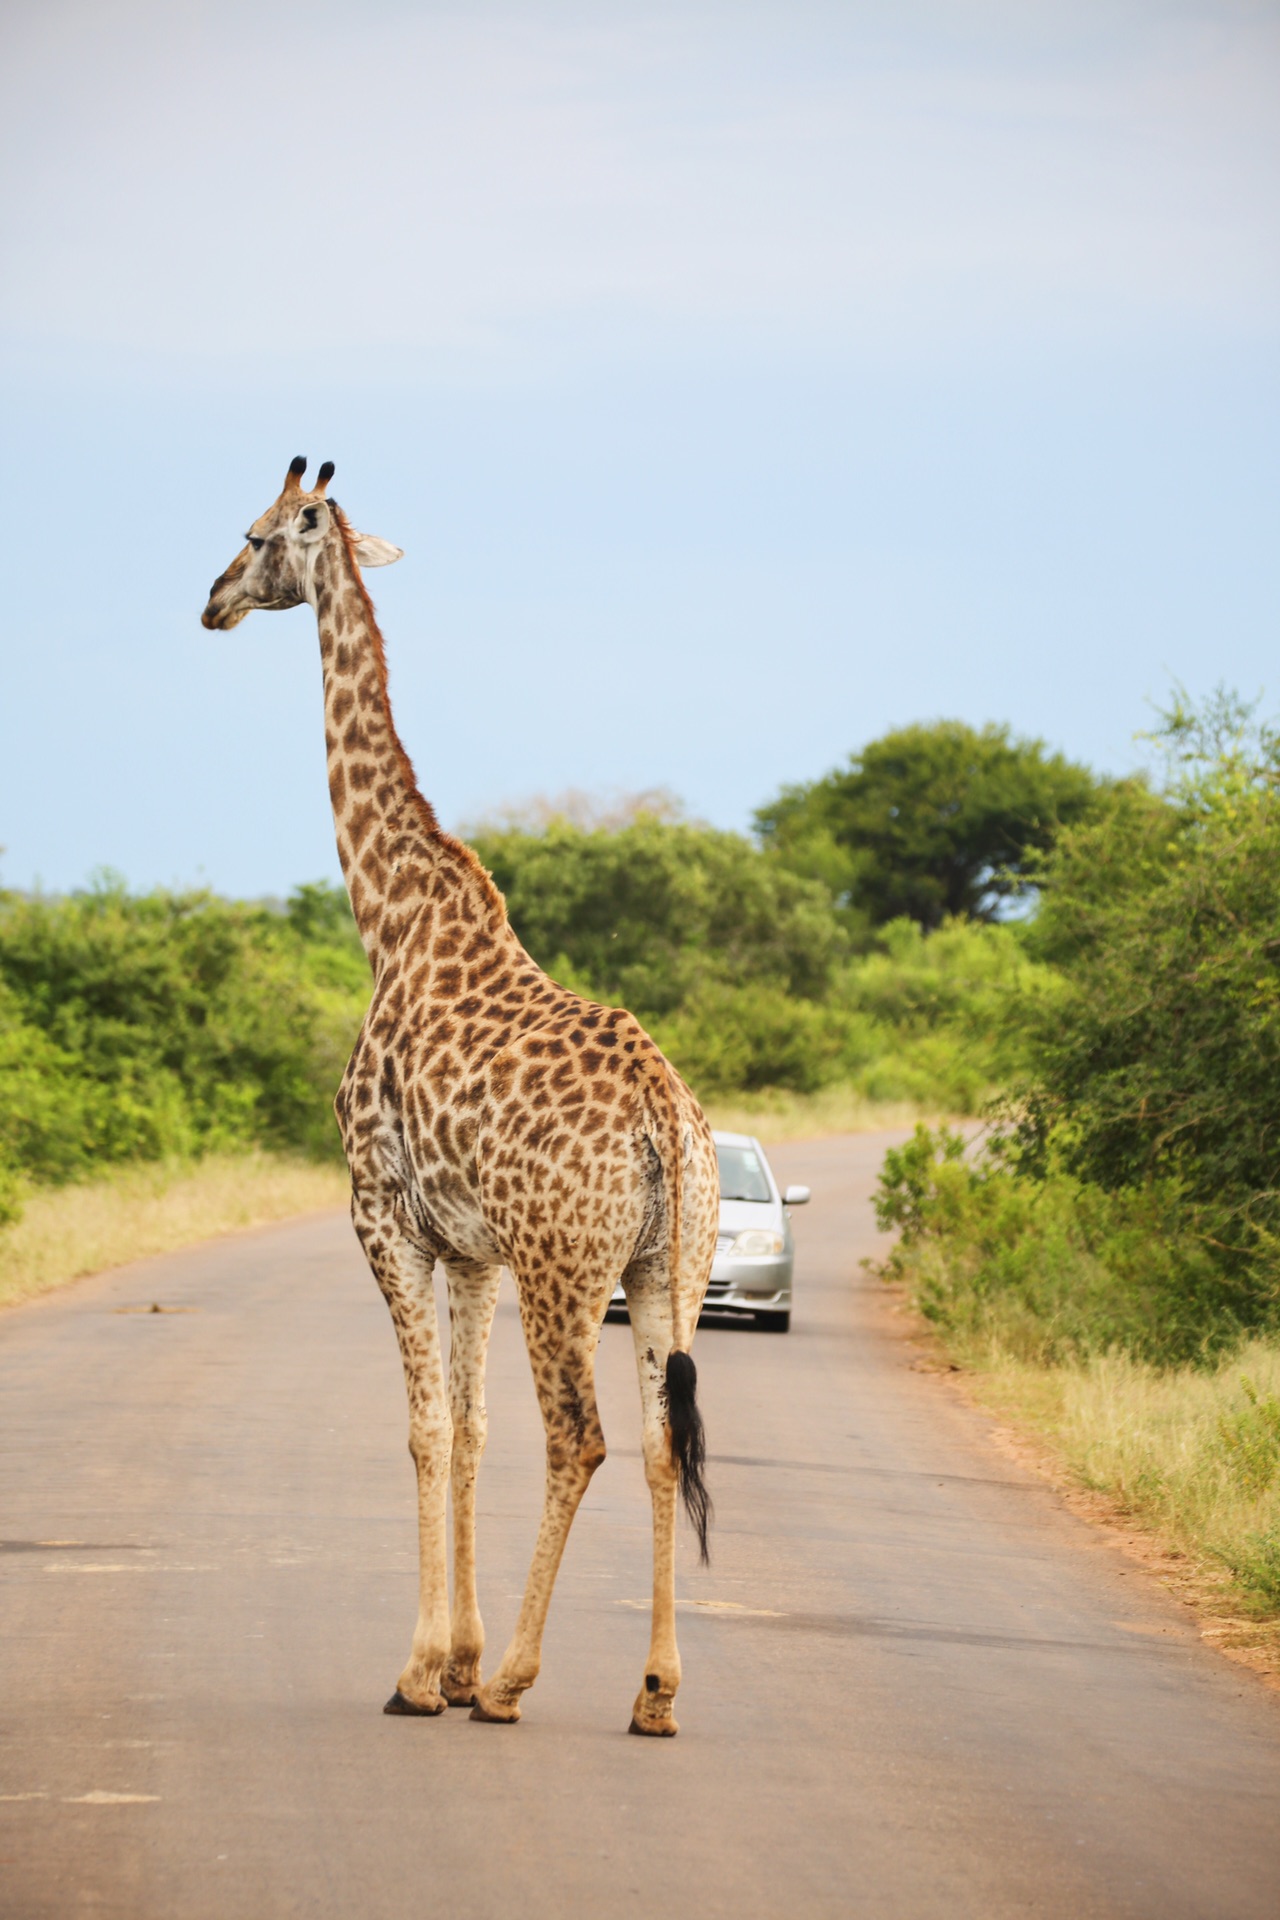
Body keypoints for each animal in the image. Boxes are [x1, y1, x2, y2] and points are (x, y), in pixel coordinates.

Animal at [201, 456, 721, 1735]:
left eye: (255, 535)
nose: (211, 603)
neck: (386, 921)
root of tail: (664, 1124)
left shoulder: (382, 1216)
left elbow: (427, 1427)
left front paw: (423, 1672)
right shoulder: (472, 1250)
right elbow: (475, 1428)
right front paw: (453, 1655)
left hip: (565, 1266)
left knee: (580, 1437)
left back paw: (517, 1682)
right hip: (663, 1264)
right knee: (657, 1439)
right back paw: (652, 1691)